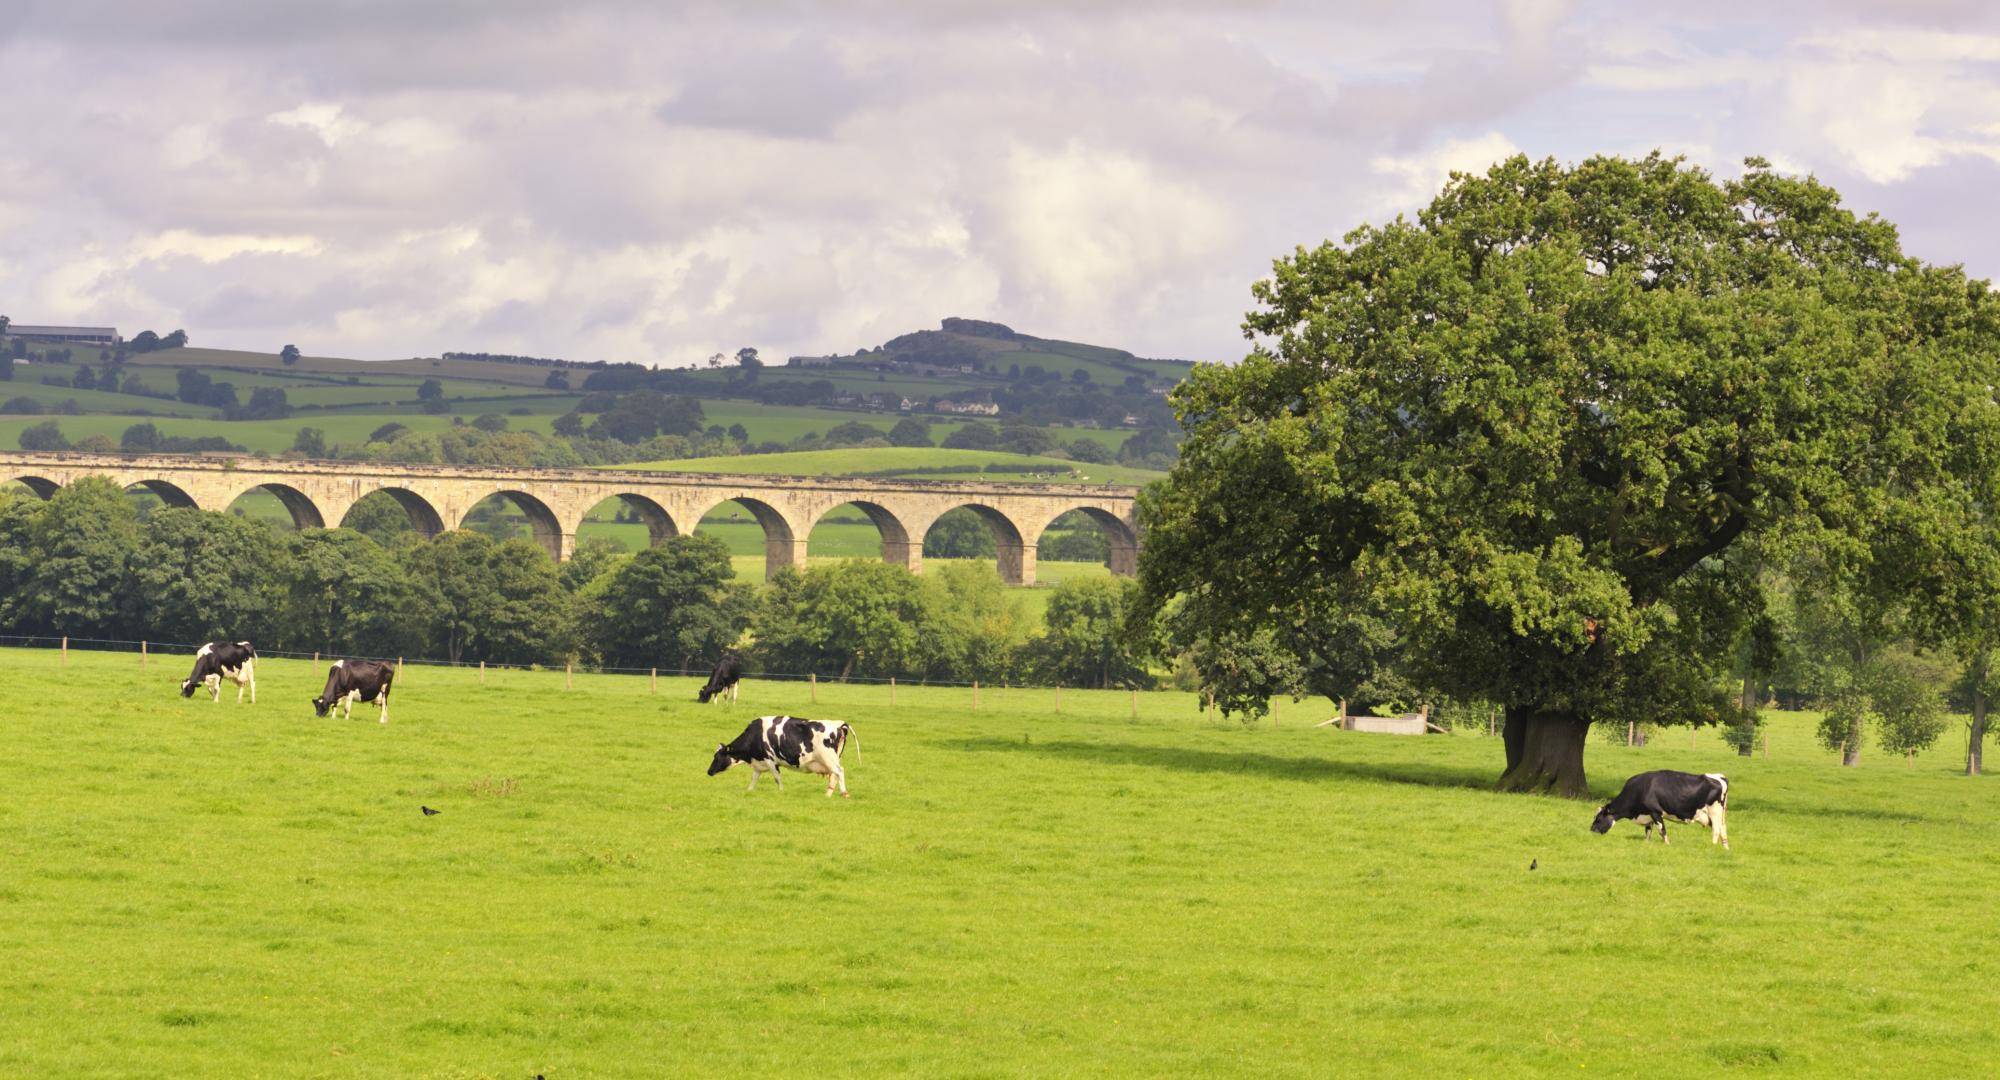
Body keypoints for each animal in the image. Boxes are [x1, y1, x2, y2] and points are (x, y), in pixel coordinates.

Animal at [708, 712, 856, 796]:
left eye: (717, 757)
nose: (708, 771)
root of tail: (839, 724)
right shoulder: (759, 763)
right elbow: (754, 778)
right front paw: (749, 791)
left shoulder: (771, 761)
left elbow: (777, 778)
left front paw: (781, 792)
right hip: (833, 760)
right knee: (834, 776)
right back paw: (828, 795)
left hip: (828, 758)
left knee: (839, 772)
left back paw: (844, 793)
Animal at [1584, 772, 1728, 848]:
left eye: (1599, 819)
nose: (1591, 830)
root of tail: (1719, 776)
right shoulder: (1647, 815)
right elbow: (1648, 831)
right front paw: (1646, 843)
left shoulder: (1655, 812)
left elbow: (1662, 830)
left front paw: (1667, 844)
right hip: (1718, 815)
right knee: (1723, 829)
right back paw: (1725, 848)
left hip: (1714, 812)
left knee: (1716, 830)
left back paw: (1713, 846)